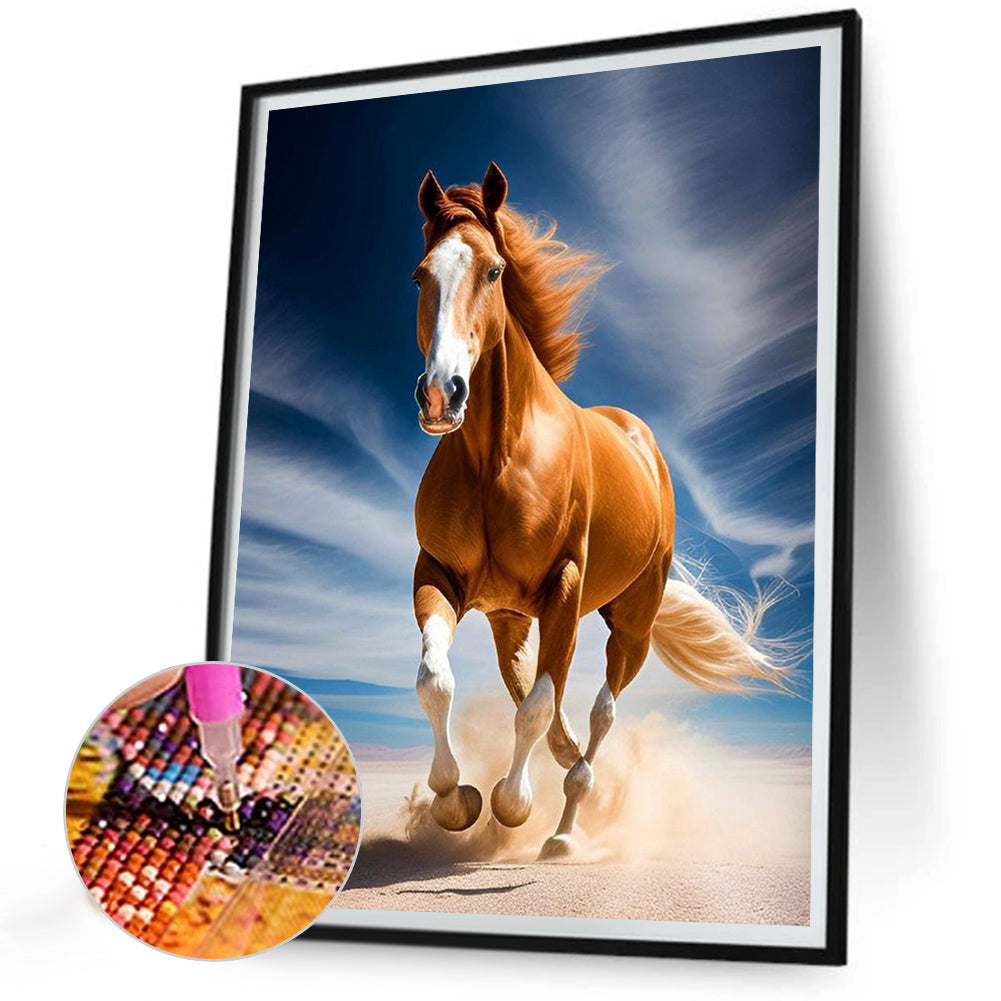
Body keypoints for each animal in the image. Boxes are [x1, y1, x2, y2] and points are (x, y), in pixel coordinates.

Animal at [410, 163, 788, 859]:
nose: (440, 395)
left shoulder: (565, 583)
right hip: (511, 616)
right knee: (537, 693)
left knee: (596, 713)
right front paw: (455, 800)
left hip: (630, 623)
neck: (499, 458)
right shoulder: (439, 575)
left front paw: (511, 804)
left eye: (494, 271)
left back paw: (562, 829)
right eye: (420, 275)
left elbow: (536, 706)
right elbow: (438, 681)